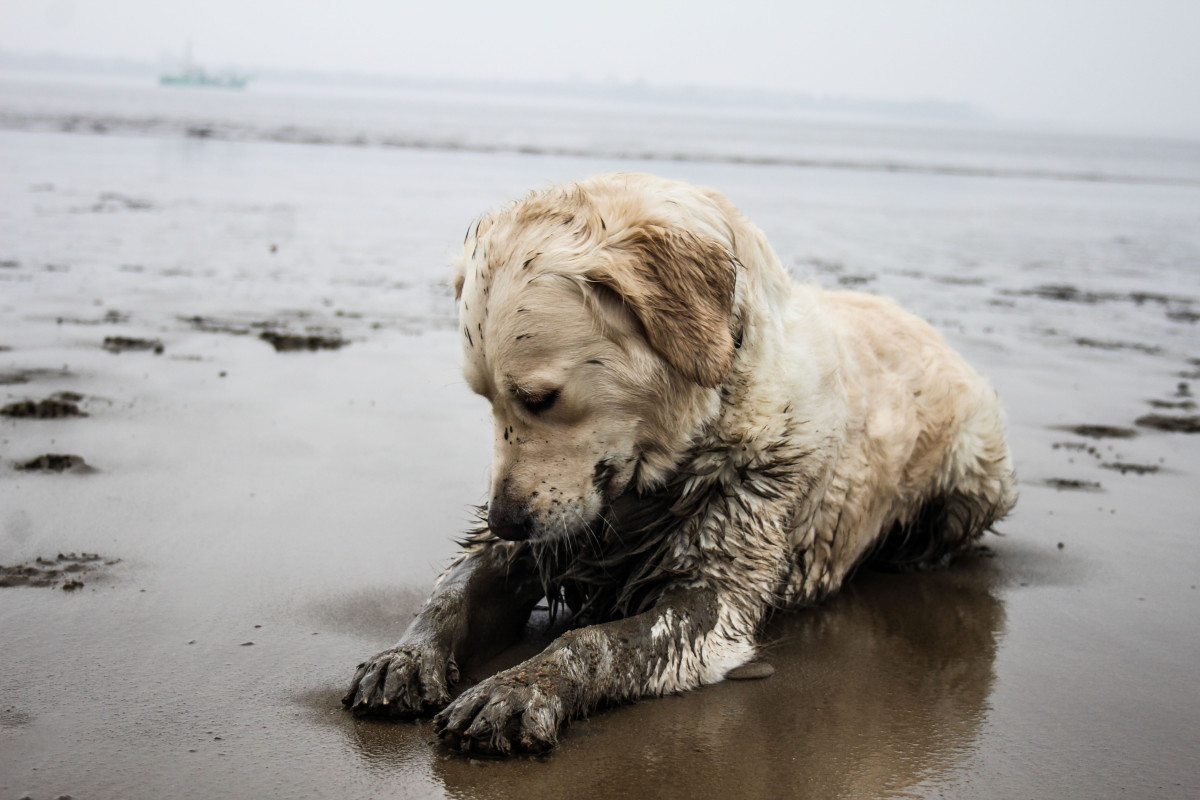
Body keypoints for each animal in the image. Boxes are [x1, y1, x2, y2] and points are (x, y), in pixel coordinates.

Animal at [343, 172, 1017, 753]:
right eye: (484, 399)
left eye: (539, 398)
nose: (505, 520)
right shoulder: (550, 537)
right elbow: (452, 588)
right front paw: (404, 657)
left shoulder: (712, 594)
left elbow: (592, 640)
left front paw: (519, 688)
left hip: (974, 476)